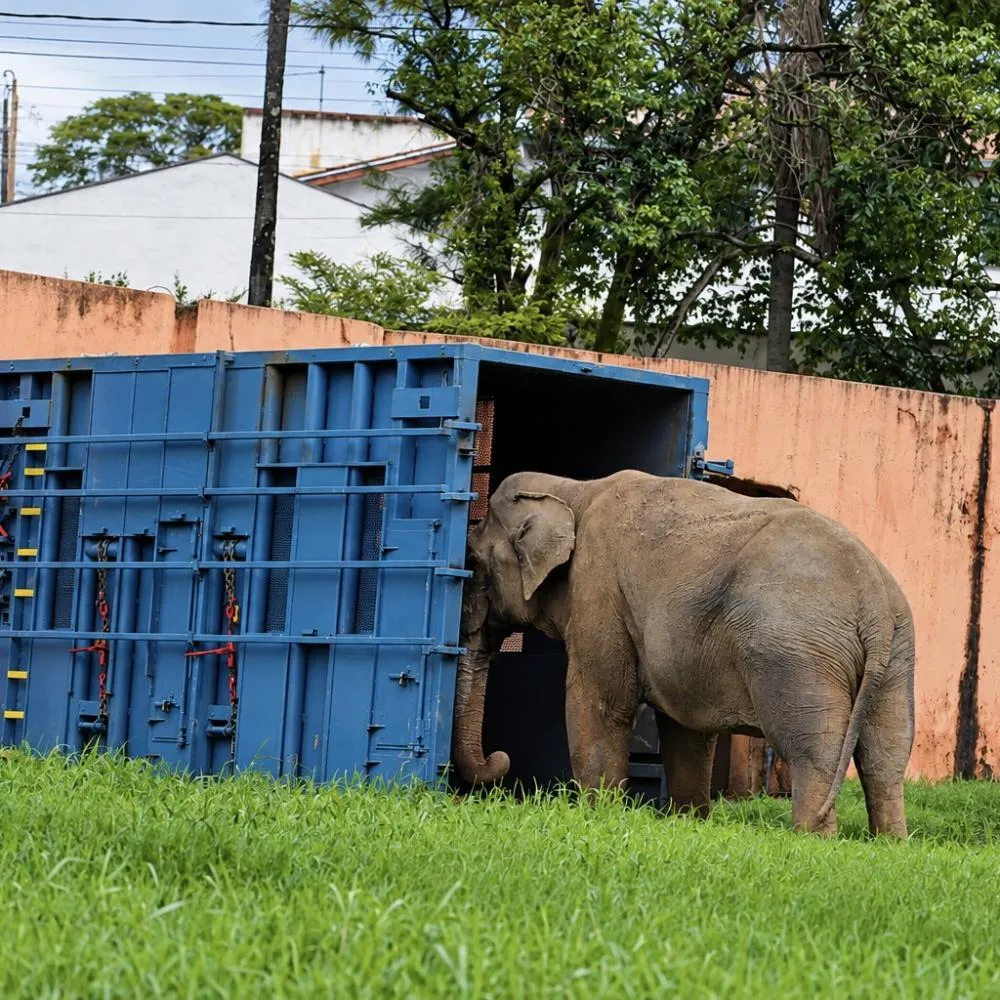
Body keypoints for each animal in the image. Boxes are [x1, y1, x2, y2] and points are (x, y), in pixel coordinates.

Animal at [452, 469, 915, 837]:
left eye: (473, 563)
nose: (500, 759)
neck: (573, 489)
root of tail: (872, 599)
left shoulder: (598, 589)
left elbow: (601, 703)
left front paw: (598, 815)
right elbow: (684, 726)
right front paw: (689, 821)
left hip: (795, 652)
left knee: (812, 752)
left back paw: (812, 839)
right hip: (896, 653)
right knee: (886, 755)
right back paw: (889, 842)